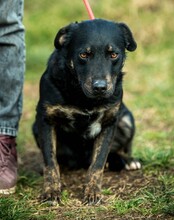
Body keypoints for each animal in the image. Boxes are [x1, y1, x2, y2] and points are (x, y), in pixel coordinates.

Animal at [33, 18, 141, 205]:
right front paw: (51, 191)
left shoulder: (109, 122)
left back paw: (127, 161)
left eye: (113, 55)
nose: (100, 87)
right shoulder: (46, 119)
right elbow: (51, 162)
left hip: (127, 120)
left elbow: (98, 162)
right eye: (83, 55)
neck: (83, 96)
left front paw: (92, 192)